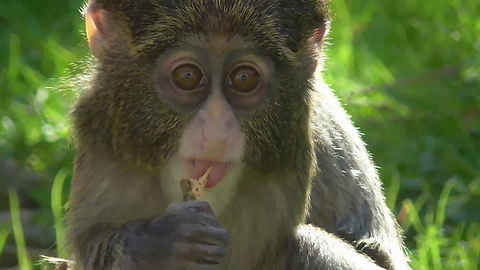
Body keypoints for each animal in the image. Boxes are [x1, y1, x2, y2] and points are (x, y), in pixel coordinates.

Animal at [64, 0, 412, 270]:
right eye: (187, 76)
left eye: (244, 79)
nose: (217, 130)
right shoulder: (102, 136)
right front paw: (160, 243)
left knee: (307, 246)